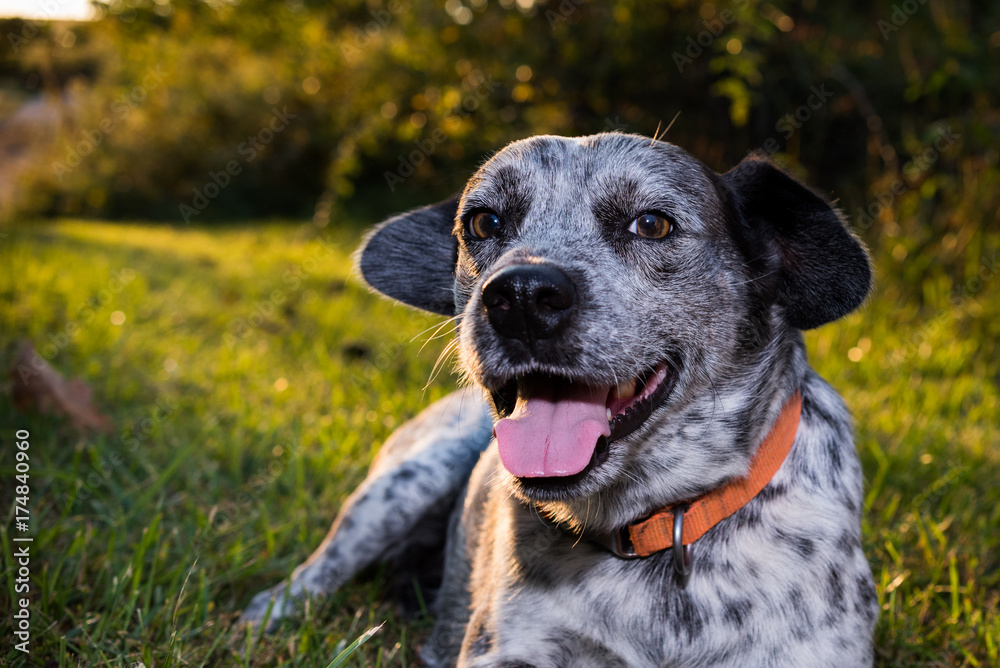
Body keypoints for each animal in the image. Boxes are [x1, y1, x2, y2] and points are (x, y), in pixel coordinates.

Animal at [240, 133, 876, 664]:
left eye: (652, 224)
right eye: (483, 221)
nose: (521, 295)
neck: (654, 529)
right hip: (404, 484)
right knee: (315, 572)